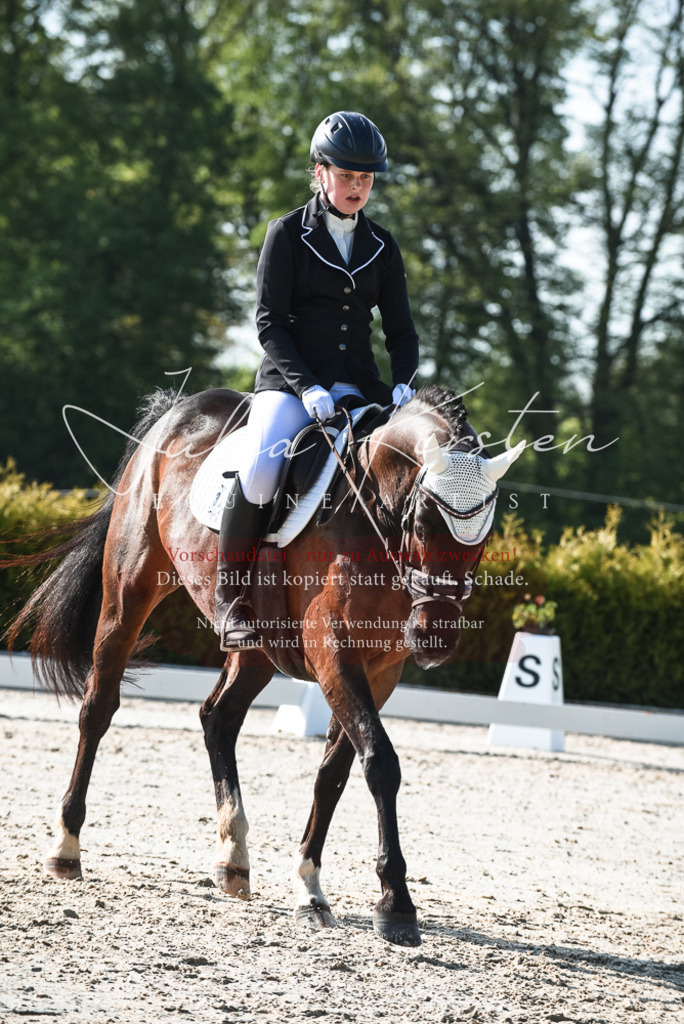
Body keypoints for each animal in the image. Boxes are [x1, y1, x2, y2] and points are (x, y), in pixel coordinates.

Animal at [3, 384, 523, 947]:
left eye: (484, 533)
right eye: (425, 522)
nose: (435, 639)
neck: (372, 518)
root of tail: (176, 409)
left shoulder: (381, 671)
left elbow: (334, 772)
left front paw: (310, 888)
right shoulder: (333, 652)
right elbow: (381, 763)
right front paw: (396, 904)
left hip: (255, 648)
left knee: (219, 718)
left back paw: (233, 859)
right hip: (130, 592)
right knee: (98, 707)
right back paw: (66, 847)